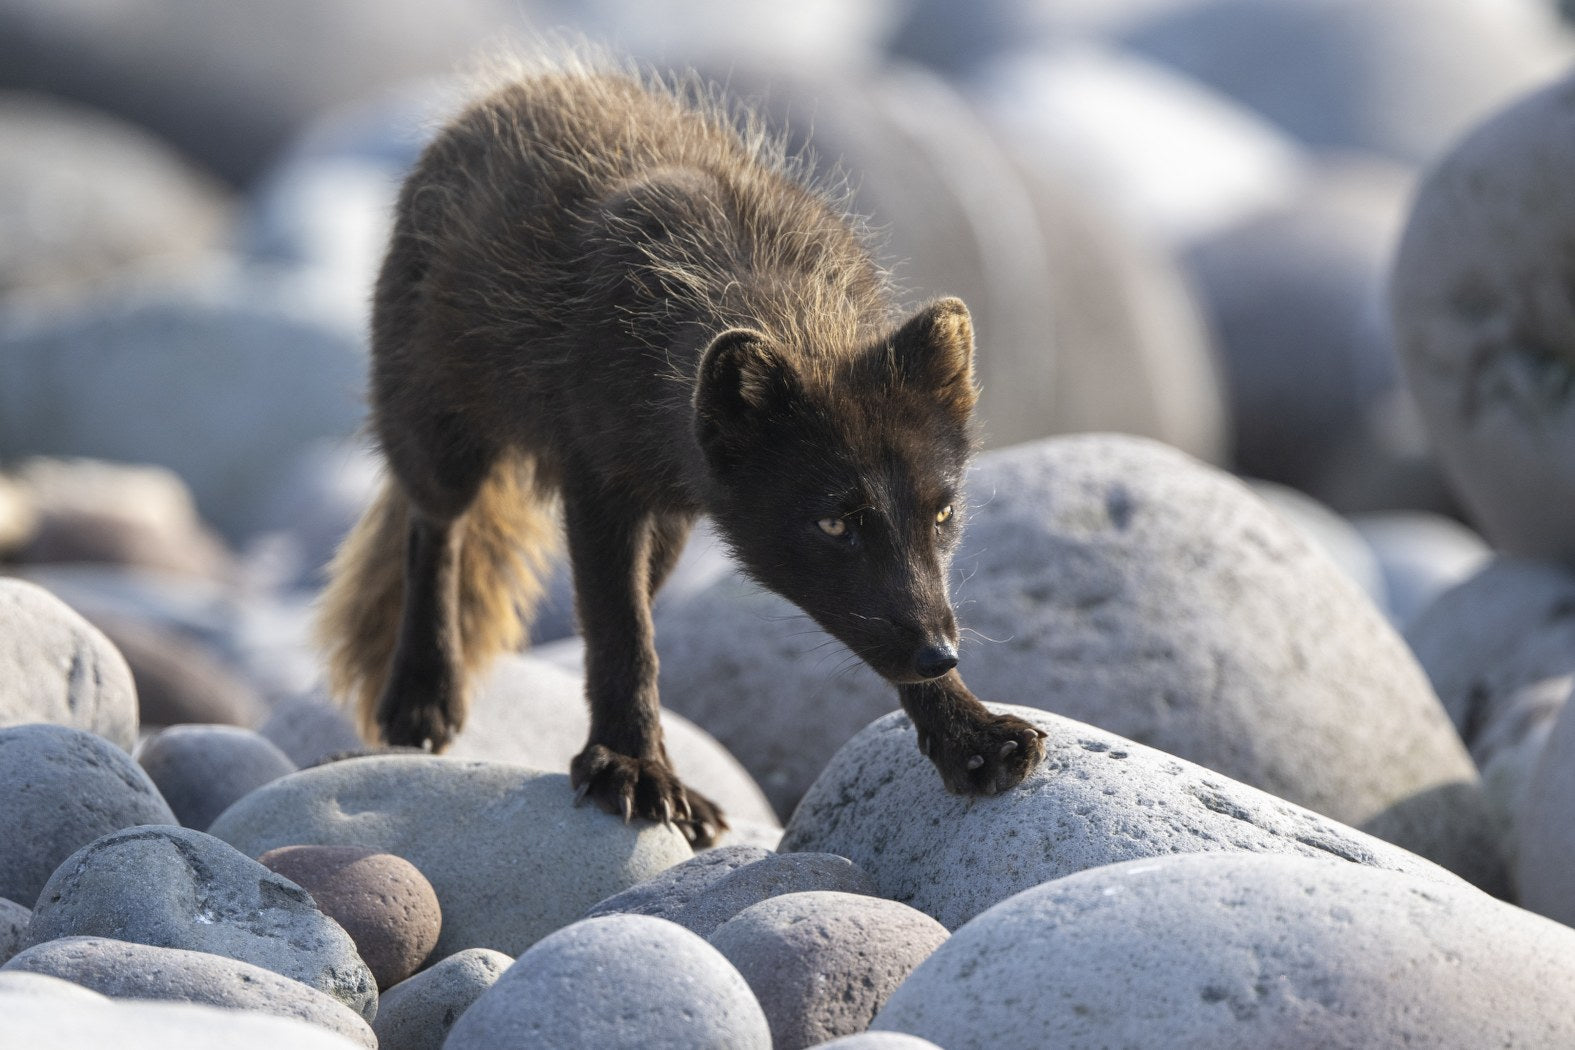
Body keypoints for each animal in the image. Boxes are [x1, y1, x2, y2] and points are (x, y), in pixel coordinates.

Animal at [316, 60, 1048, 847]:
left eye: (942, 515)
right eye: (834, 523)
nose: (940, 654)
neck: (756, 286)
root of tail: (515, 89)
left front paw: (969, 734)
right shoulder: (598, 487)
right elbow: (624, 637)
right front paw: (632, 766)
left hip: (666, 531)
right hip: (438, 432)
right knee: (434, 528)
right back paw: (423, 695)